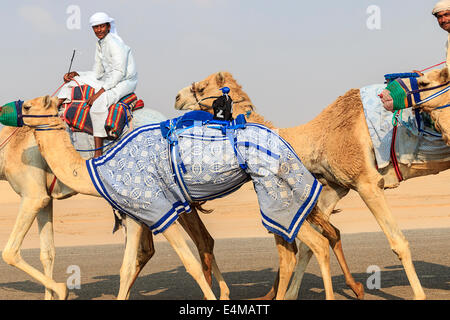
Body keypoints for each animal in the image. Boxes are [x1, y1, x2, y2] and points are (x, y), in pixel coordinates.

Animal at [12, 95, 340, 300]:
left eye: (29, 104)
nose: (14, 111)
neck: (97, 168)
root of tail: (283, 141)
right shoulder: (136, 213)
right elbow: (126, 269)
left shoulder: (161, 210)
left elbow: (190, 263)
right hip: (280, 193)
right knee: (295, 249)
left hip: (276, 190)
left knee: (316, 243)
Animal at [175, 70, 450, 300]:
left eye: (201, 87)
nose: (177, 97)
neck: (319, 137)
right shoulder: (336, 188)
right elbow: (312, 244)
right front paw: (290, 295)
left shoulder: (367, 182)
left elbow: (398, 242)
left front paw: (419, 296)